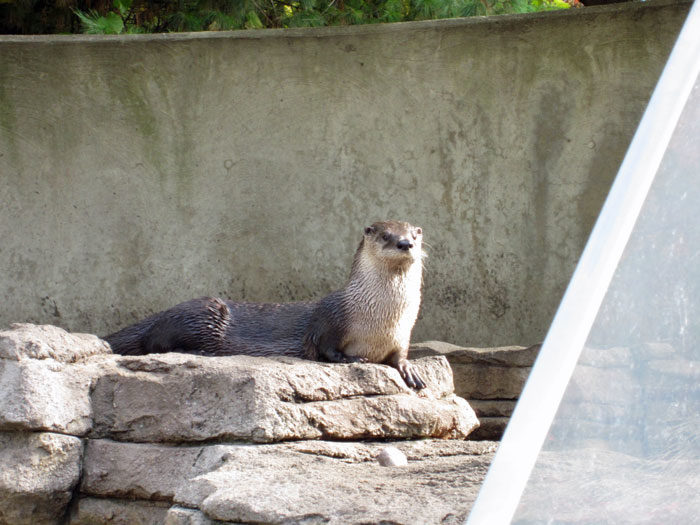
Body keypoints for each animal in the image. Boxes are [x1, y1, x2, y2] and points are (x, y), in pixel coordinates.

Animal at [102, 219, 424, 386]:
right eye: (386, 235)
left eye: (414, 235)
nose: (405, 243)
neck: (381, 315)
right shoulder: (330, 319)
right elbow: (324, 348)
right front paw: (351, 359)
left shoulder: (403, 334)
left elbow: (400, 355)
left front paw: (409, 369)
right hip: (202, 312)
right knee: (154, 343)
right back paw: (201, 353)